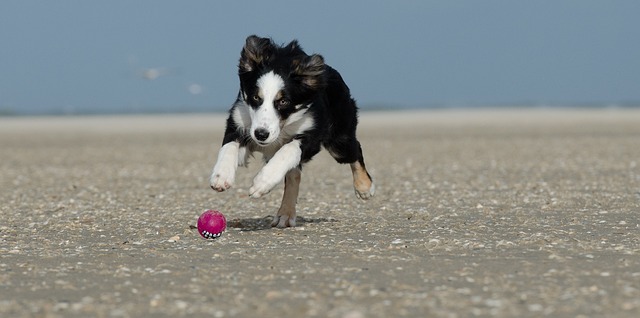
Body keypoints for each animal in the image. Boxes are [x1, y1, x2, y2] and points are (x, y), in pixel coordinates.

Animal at [209, 36, 376, 227]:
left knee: (355, 150)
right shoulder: (239, 122)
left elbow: (288, 150)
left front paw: (262, 183)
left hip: (339, 141)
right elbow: (229, 146)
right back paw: (286, 214)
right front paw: (221, 176)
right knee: (294, 175)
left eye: (283, 101)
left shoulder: (312, 135)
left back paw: (364, 187)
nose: (261, 134)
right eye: (256, 97)